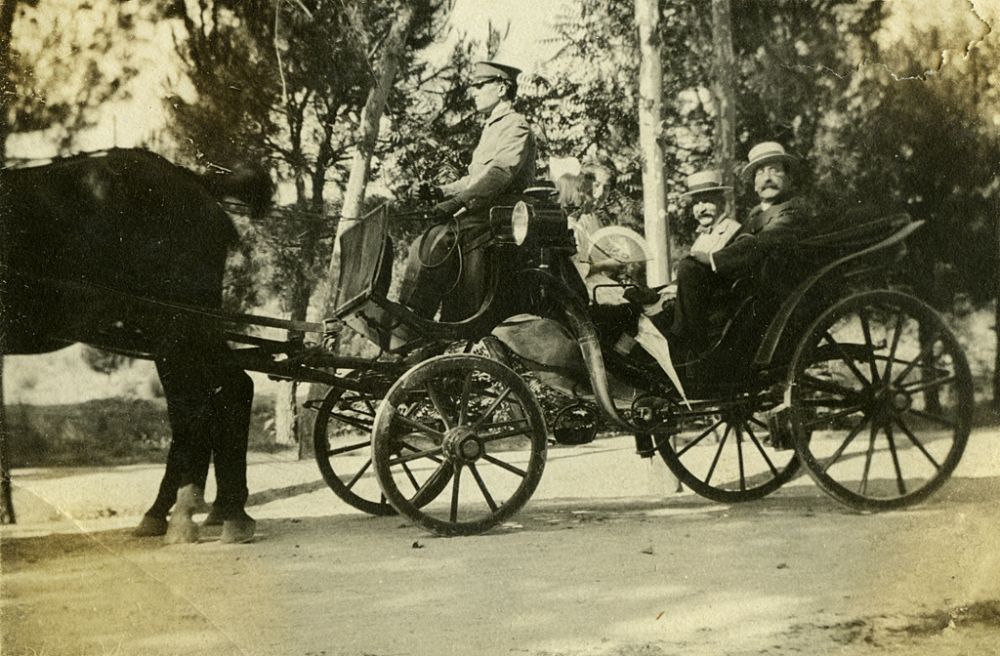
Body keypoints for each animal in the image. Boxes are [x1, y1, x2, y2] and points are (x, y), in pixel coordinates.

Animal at [0, 149, 274, 544]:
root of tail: (190, 178)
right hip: (173, 332)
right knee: (207, 401)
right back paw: (195, 511)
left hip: (180, 323)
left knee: (211, 399)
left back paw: (207, 515)